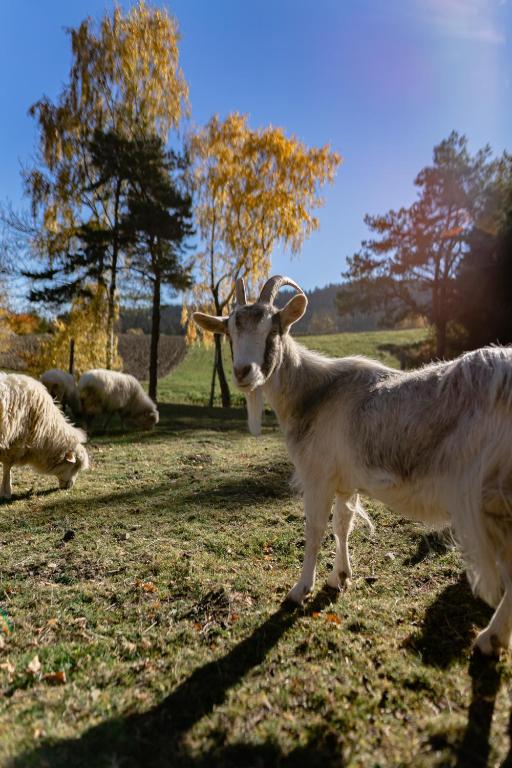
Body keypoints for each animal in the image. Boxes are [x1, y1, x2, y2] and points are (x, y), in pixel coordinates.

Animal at [194, 274, 512, 656]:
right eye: (229, 330)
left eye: (274, 328)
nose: (244, 372)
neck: (315, 395)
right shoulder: (345, 481)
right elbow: (342, 525)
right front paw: (339, 578)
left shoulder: (317, 475)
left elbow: (315, 529)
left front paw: (299, 591)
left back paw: (490, 639)